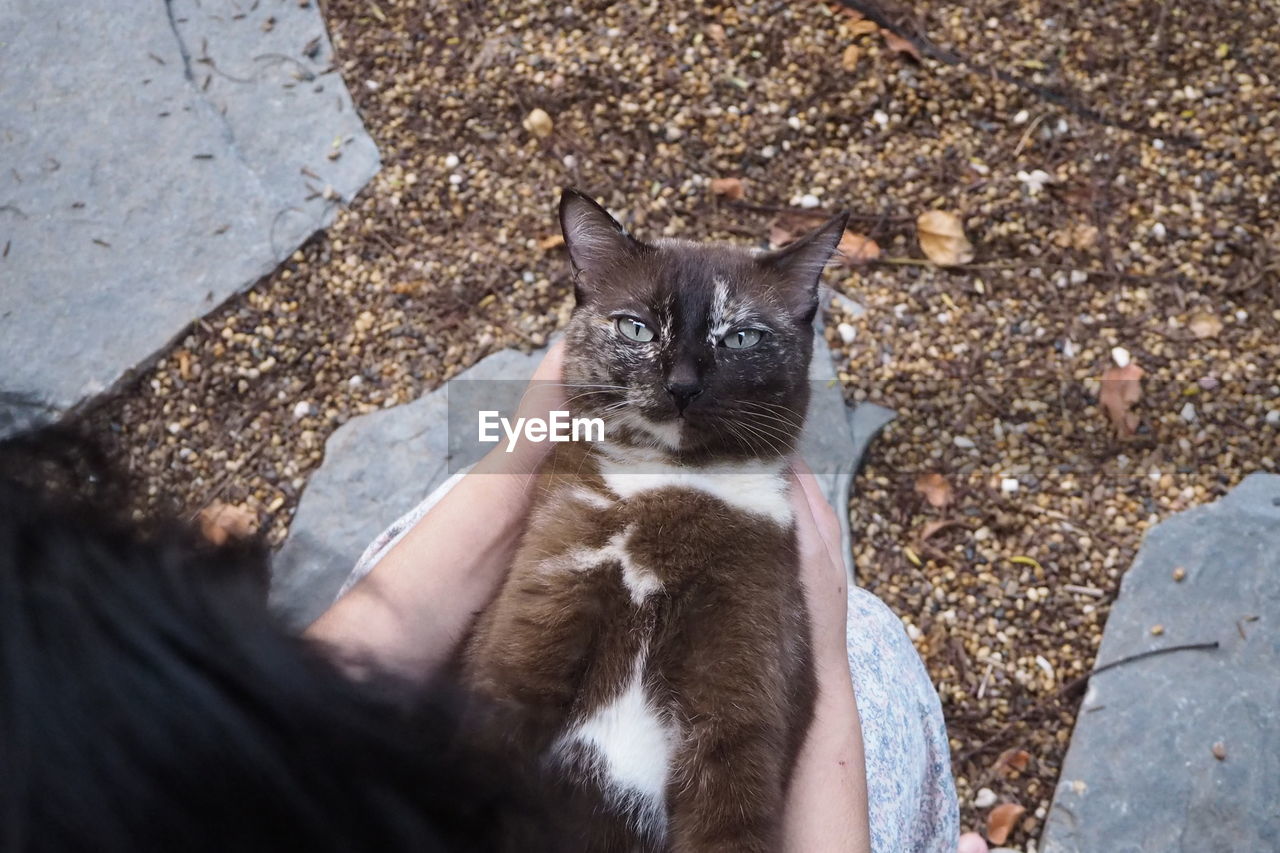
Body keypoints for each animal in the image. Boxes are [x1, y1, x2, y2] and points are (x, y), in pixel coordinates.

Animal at [460, 189, 849, 845]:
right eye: (636, 327)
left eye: (739, 338)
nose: (682, 385)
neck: (668, 487)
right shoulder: (528, 631)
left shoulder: (743, 698)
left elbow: (731, 821)